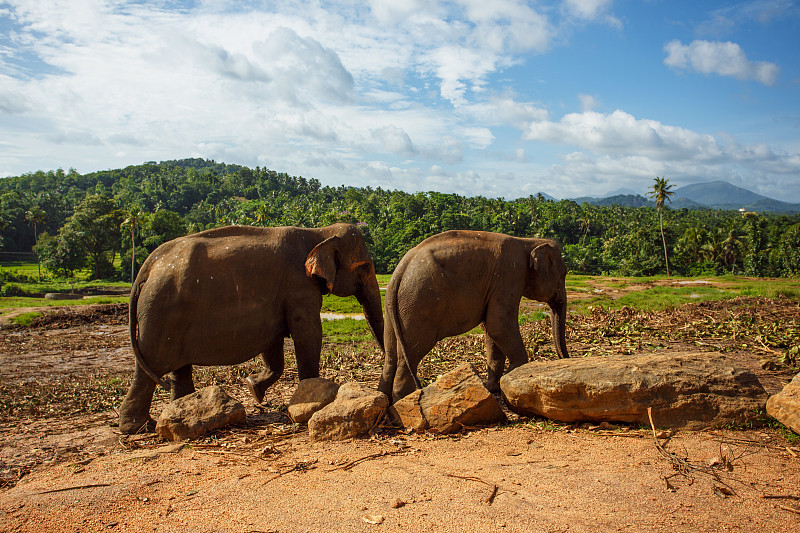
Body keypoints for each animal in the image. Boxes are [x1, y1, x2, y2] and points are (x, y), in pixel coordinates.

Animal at [117, 222, 382, 434]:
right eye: (365, 267)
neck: (319, 232)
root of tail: (147, 266)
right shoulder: (299, 286)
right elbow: (308, 335)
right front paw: (311, 397)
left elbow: (273, 345)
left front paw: (254, 388)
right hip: (160, 315)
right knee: (149, 368)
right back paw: (139, 427)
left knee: (177, 369)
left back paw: (179, 413)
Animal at [376, 230, 568, 404]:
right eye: (564, 273)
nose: (565, 358)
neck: (528, 241)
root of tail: (400, 270)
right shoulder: (510, 276)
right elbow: (499, 325)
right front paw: (514, 373)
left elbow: (491, 331)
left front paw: (493, 387)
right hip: (419, 302)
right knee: (411, 354)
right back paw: (404, 400)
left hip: (395, 307)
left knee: (391, 356)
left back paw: (387, 402)